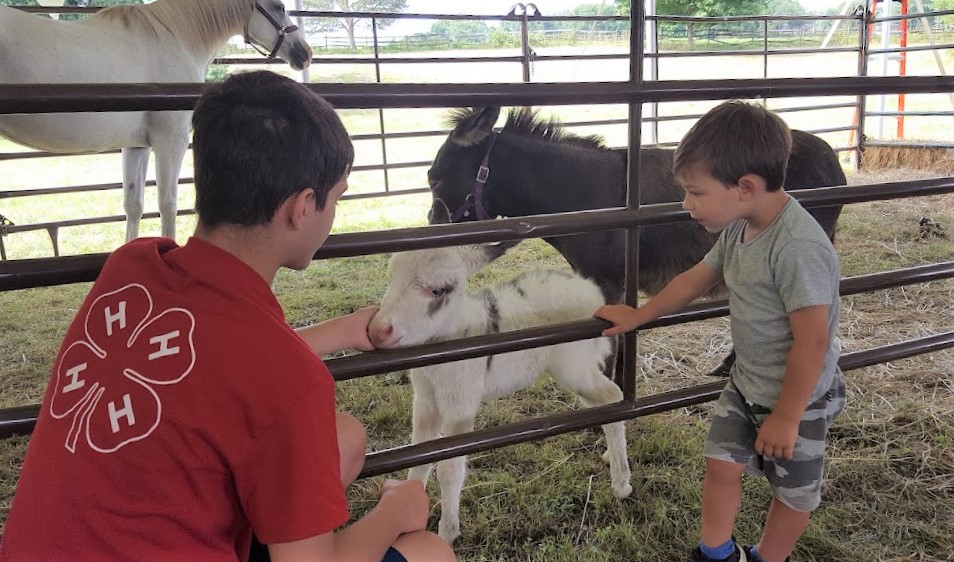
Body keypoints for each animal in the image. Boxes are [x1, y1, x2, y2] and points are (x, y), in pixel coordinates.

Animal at [0, 0, 312, 241]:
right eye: (280, 6)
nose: (305, 53)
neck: (174, 37)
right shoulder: (171, 141)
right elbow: (168, 203)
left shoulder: (137, 146)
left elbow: (133, 205)